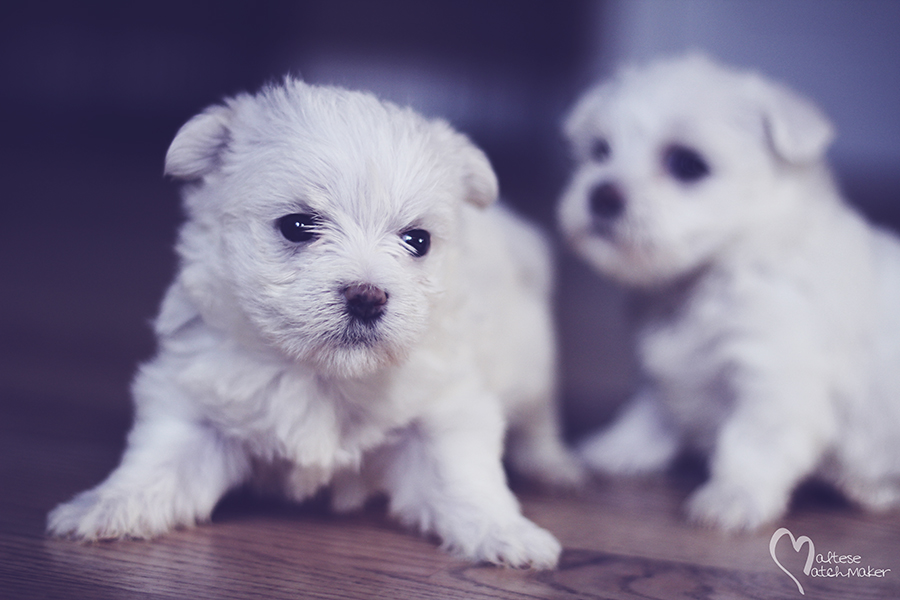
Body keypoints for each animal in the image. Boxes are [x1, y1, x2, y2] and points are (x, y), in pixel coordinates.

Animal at [49, 76, 580, 568]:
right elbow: (159, 462)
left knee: (540, 414)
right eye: (297, 226)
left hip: (532, 363)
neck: (323, 374)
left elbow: (465, 476)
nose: (367, 297)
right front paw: (105, 506)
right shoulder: (198, 404)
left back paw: (552, 464)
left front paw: (507, 533)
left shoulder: (445, 408)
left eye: (418, 240)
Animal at [560, 56, 900, 532]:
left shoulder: (773, 379)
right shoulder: (666, 372)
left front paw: (734, 496)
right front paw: (617, 448)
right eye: (599, 151)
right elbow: (651, 413)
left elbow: (751, 444)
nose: (601, 193)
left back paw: (871, 488)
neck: (718, 271)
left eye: (687, 164)